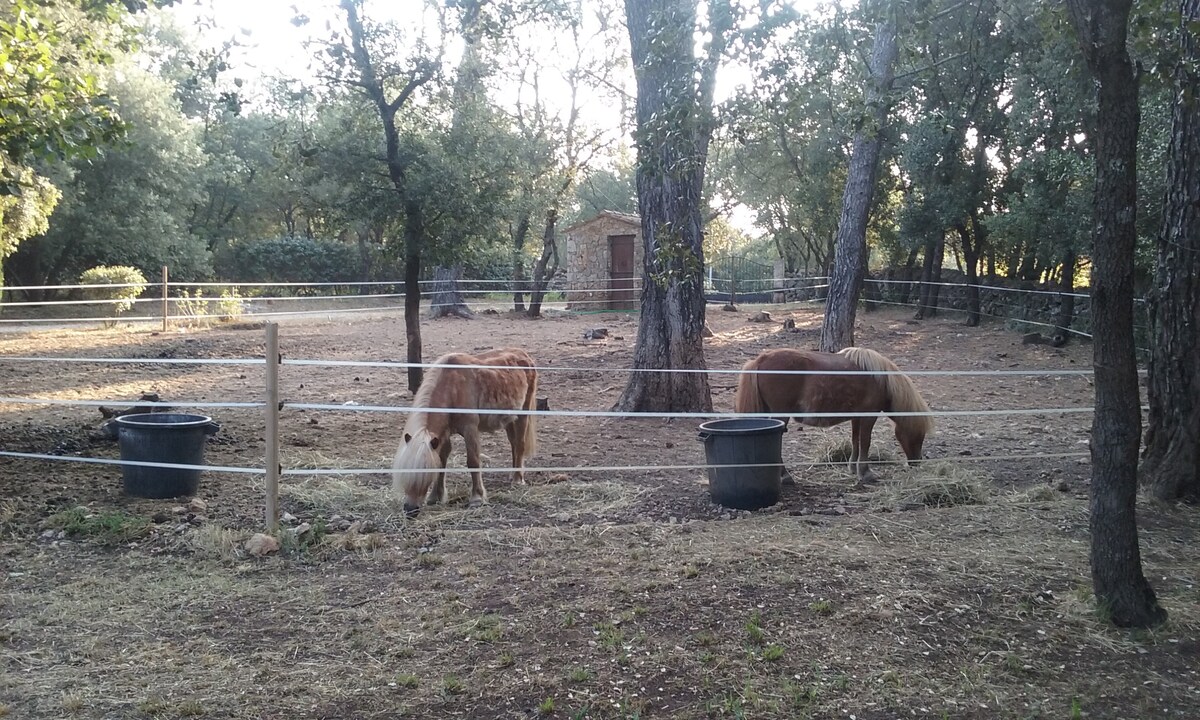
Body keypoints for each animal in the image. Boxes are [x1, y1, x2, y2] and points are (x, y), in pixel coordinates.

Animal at [393, 348, 540, 518]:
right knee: (513, 444)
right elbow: (442, 461)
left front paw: (477, 498)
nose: (410, 510)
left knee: (520, 444)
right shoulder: (443, 434)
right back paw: (512, 474)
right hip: (509, 418)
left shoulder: (470, 429)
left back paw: (517, 479)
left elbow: (473, 461)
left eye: (424, 473)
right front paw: (436, 497)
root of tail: (524, 355)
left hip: (523, 414)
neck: (452, 387)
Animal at [729, 345, 936, 480]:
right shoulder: (869, 416)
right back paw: (785, 476)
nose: (916, 463)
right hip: (780, 416)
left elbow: (856, 441)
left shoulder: (857, 417)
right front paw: (866, 473)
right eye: (918, 435)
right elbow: (866, 442)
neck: (881, 379)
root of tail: (760, 359)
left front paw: (853, 468)